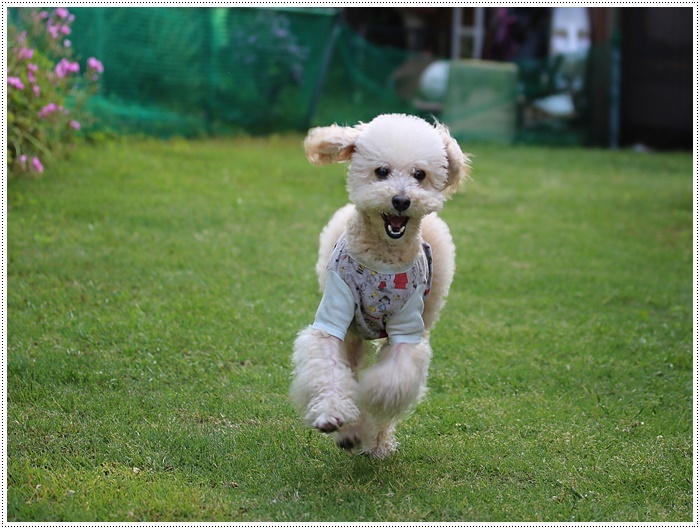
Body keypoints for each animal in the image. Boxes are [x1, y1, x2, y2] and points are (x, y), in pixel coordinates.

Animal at [290, 112, 470, 458]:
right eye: (381, 171)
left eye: (419, 174)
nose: (401, 200)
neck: (382, 260)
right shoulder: (334, 314)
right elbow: (328, 365)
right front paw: (333, 415)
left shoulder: (408, 326)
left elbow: (392, 380)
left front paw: (368, 401)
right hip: (353, 333)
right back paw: (351, 433)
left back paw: (377, 441)